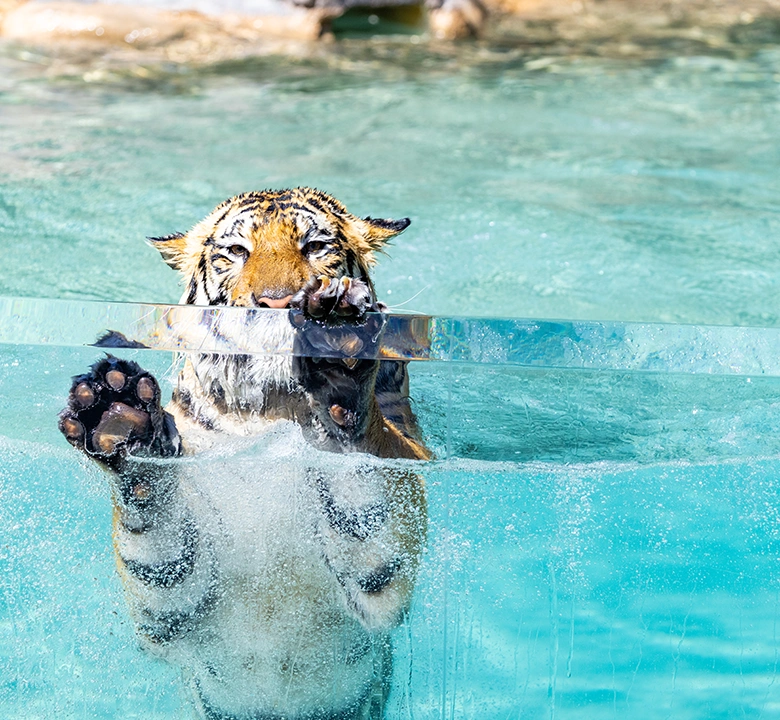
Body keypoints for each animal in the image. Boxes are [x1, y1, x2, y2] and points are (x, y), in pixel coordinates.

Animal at [58, 187, 430, 720]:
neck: (269, 414)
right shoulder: (165, 618)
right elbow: (157, 538)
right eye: (236, 252)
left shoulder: (388, 578)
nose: (277, 302)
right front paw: (119, 415)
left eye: (316, 246)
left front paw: (340, 345)